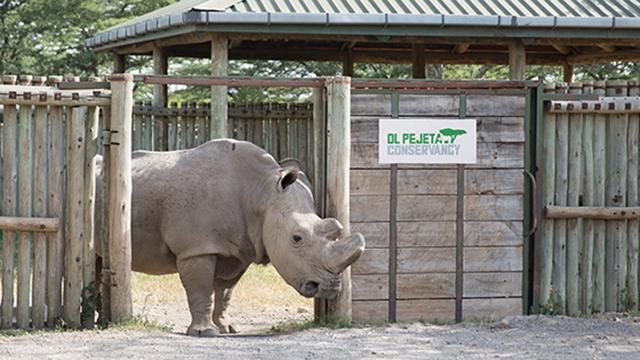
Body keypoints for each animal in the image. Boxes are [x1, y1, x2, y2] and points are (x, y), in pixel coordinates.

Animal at [95, 139, 364, 338]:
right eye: (297, 238)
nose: (329, 288)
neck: (261, 193)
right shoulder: (196, 248)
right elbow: (201, 289)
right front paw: (205, 333)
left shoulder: (239, 250)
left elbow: (225, 292)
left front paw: (227, 328)